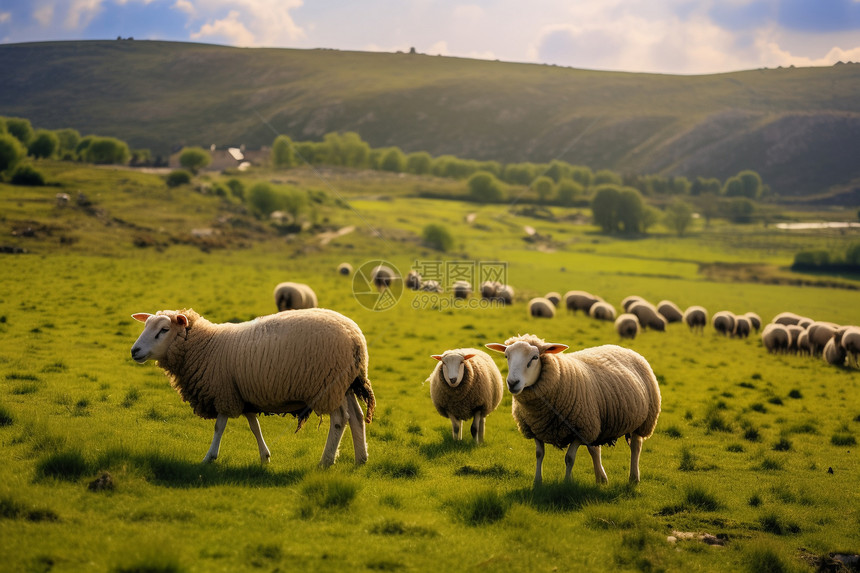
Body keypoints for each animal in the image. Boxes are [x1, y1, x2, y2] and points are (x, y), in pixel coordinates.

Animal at [132, 308, 376, 464]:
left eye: (164, 330)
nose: (134, 351)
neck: (207, 345)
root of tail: (355, 338)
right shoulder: (241, 393)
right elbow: (254, 425)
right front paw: (265, 456)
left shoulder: (223, 391)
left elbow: (219, 426)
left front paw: (209, 457)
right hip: (345, 384)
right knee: (356, 417)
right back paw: (361, 458)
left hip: (327, 385)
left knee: (339, 420)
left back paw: (326, 461)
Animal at [488, 332, 660, 484]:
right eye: (506, 356)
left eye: (535, 357)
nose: (512, 383)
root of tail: (623, 348)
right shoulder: (534, 428)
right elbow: (539, 454)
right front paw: (537, 482)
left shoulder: (579, 430)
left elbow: (569, 458)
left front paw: (566, 484)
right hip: (596, 421)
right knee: (595, 450)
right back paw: (601, 479)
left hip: (643, 421)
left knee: (636, 447)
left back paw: (634, 478)